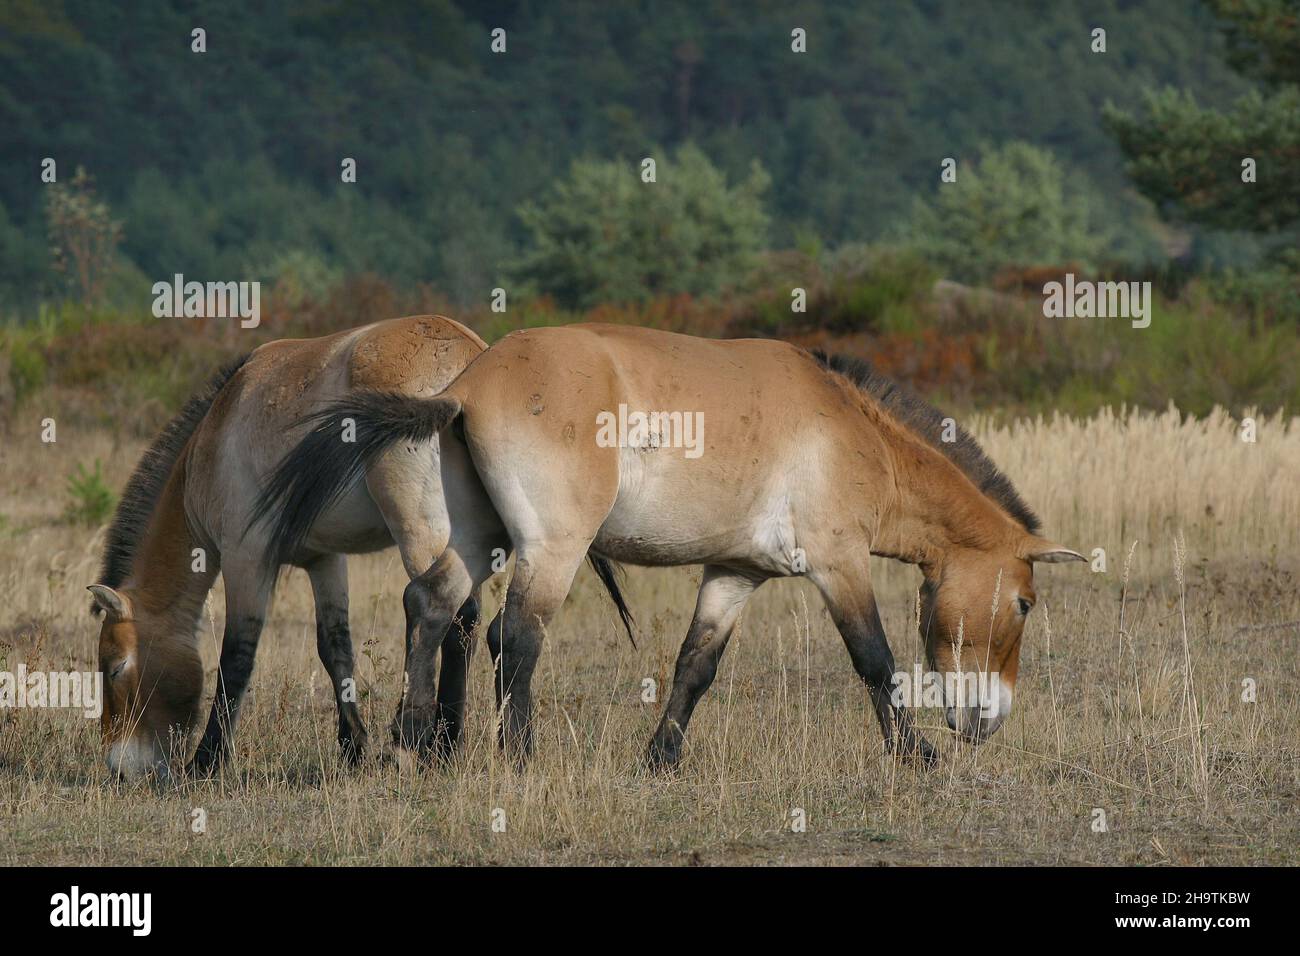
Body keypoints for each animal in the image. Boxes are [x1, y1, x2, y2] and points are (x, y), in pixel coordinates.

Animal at [87, 317, 634, 780]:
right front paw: (354, 747)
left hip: (421, 530)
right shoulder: (323, 560)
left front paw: (207, 761)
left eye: (114, 667)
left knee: (451, 614)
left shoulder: (247, 557)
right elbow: (336, 648)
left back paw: (434, 745)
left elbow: (237, 656)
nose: (119, 767)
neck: (216, 434)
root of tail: (473, 362)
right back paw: (442, 746)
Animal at [263, 325, 1086, 775]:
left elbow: (697, 664)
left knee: (432, 608)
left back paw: (408, 743)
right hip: (551, 550)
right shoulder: (838, 565)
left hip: (476, 538)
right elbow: (875, 660)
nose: (988, 720)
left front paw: (660, 756)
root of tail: (467, 386)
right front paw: (915, 754)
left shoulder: (734, 574)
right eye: (1023, 603)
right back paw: (518, 754)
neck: (854, 434)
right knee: (513, 637)